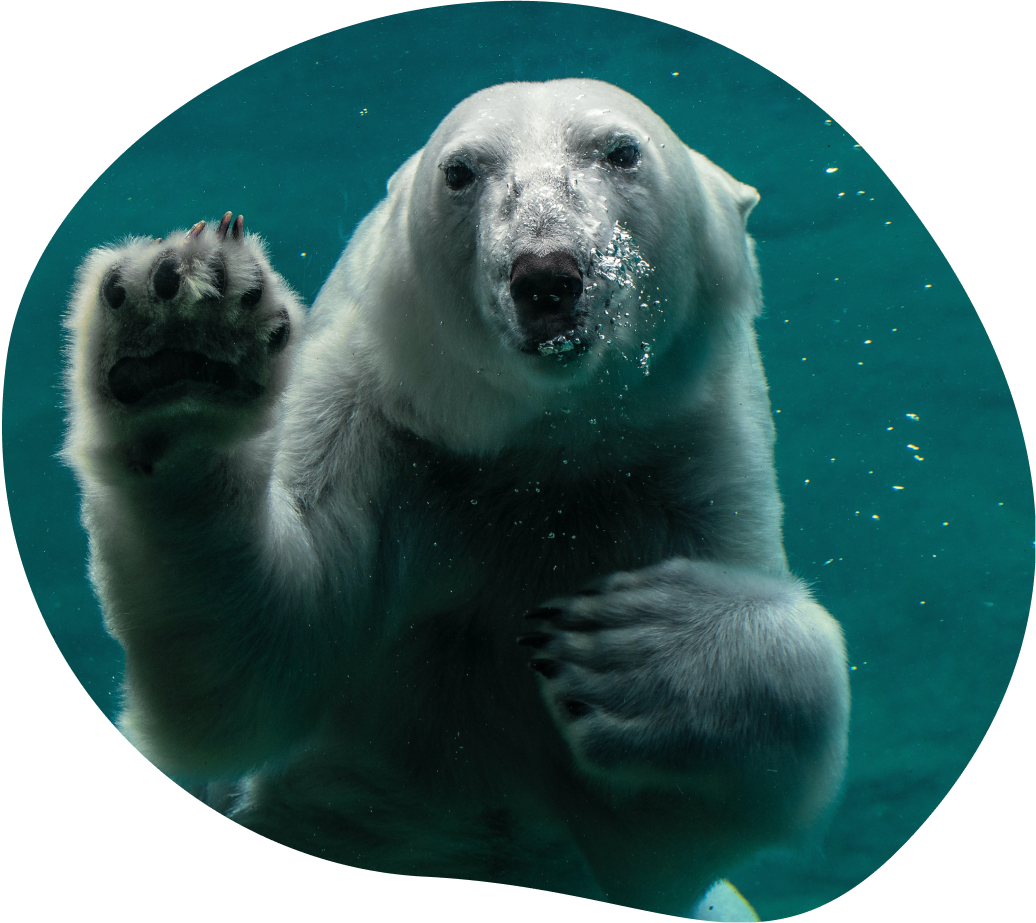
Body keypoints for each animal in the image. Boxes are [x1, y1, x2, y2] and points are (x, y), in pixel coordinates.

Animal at [62, 79, 849, 917]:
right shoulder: (377, 421)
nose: (546, 274)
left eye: (620, 150)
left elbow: (683, 814)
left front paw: (630, 646)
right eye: (461, 170)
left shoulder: (679, 461)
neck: (534, 448)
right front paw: (181, 340)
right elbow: (252, 660)